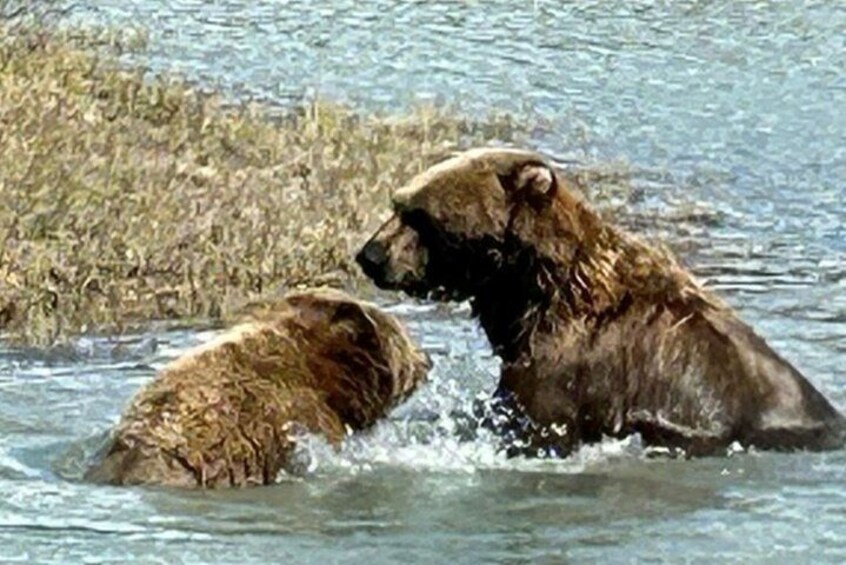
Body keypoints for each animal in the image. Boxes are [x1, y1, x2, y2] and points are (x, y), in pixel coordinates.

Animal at [356, 147, 846, 458]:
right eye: (398, 203)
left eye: (419, 215)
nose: (370, 255)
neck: (531, 296)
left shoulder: (569, 366)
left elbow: (536, 421)